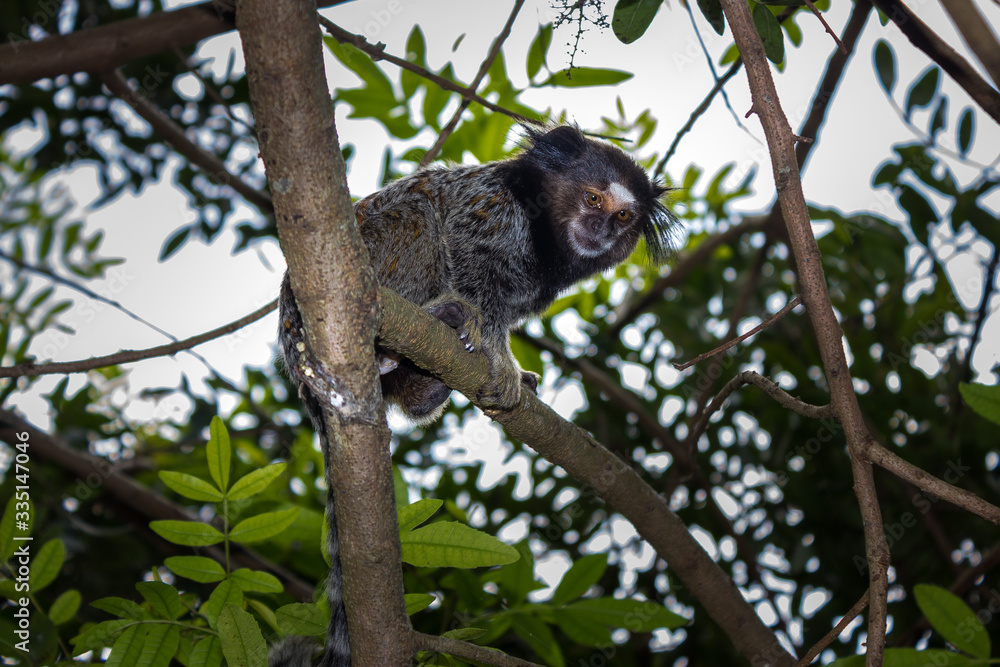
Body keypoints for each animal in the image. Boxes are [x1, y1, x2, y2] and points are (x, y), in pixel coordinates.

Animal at [273, 125, 675, 667]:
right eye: (592, 198)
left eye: (624, 216)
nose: (602, 228)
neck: (543, 236)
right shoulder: (490, 212)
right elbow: (471, 267)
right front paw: (497, 357)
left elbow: (502, 309)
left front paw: (513, 367)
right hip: (372, 264)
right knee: (417, 217)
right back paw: (420, 329)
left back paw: (422, 387)